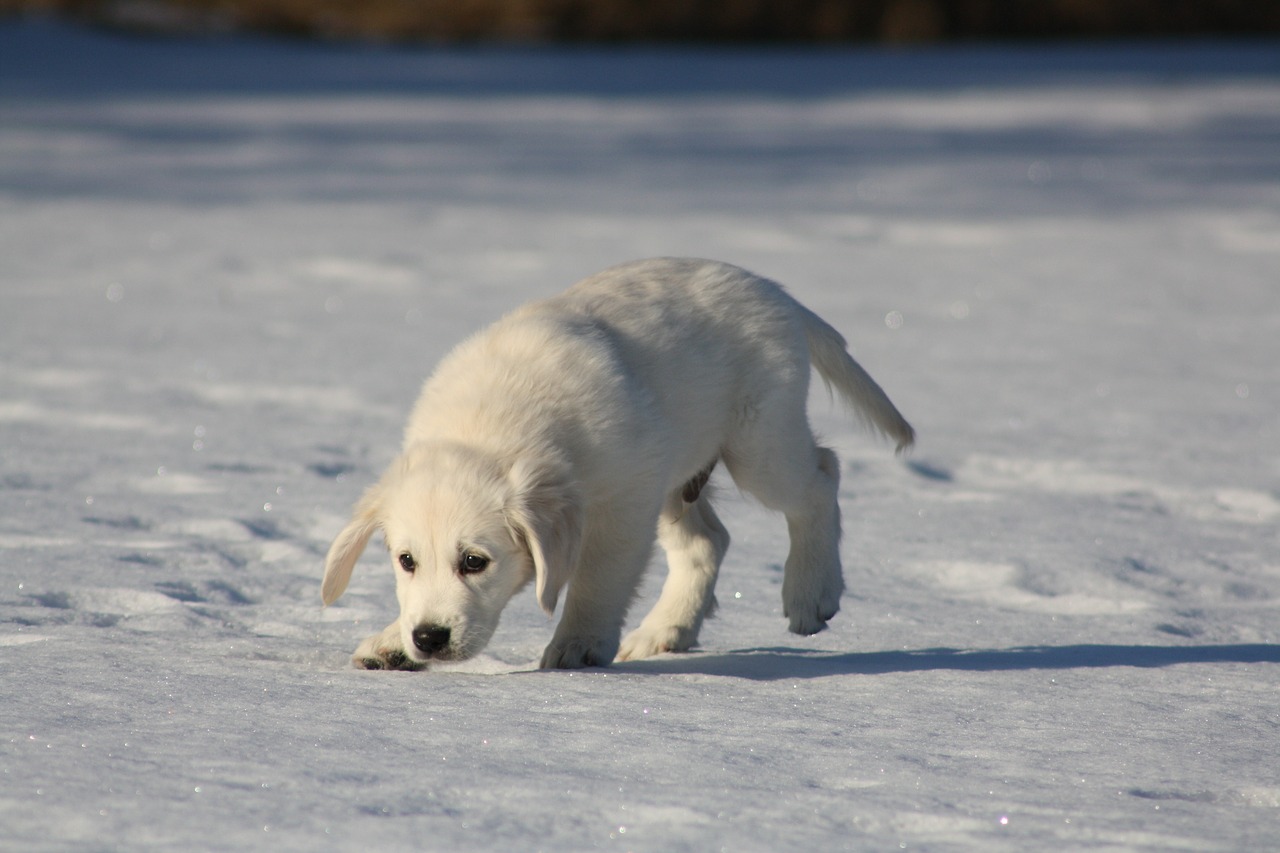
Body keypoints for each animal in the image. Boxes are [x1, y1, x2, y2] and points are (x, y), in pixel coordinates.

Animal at [325, 256, 916, 666]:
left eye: (474, 561)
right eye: (405, 561)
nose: (429, 637)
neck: (493, 427)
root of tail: (773, 290)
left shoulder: (623, 501)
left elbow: (598, 577)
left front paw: (579, 644)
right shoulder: (641, 483)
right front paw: (392, 642)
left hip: (759, 443)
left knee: (822, 476)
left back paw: (811, 593)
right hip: (676, 474)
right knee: (708, 540)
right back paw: (665, 631)